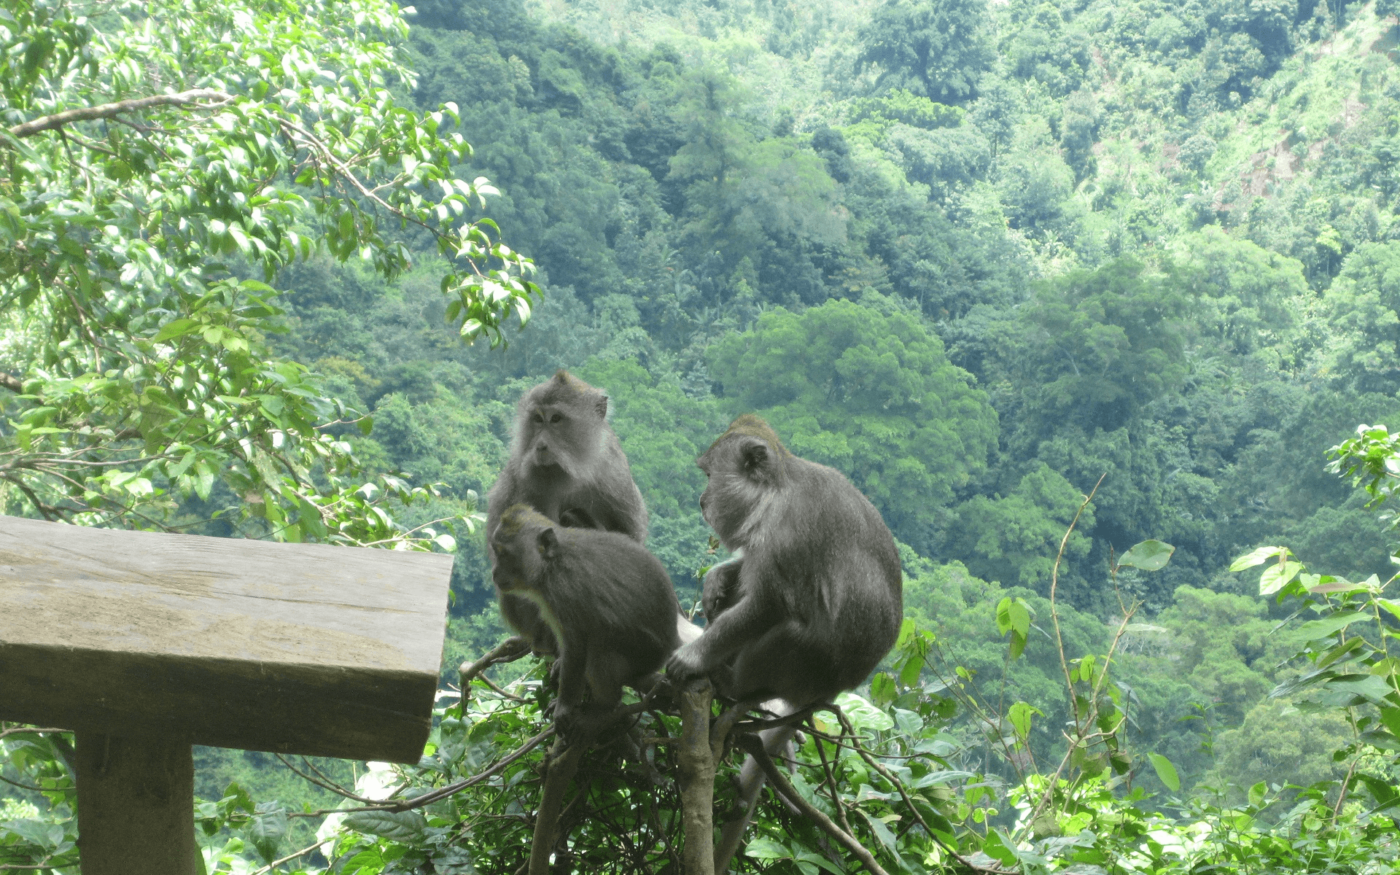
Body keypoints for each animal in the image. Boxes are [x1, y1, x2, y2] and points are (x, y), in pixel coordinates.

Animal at [669, 411, 907, 868]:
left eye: (709, 476)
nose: (703, 501)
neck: (775, 494)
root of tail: (829, 692)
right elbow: (746, 572)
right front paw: (717, 577)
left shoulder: (787, 536)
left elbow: (769, 606)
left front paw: (693, 657)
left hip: (808, 669)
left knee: (793, 631)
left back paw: (733, 682)